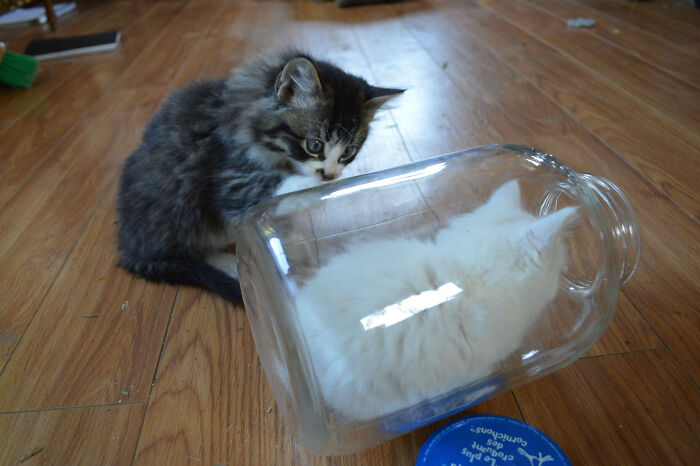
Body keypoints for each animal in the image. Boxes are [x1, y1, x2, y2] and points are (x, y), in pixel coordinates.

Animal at [115, 51, 400, 302]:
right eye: (315, 144)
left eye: (348, 151)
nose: (329, 175)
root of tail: (130, 246)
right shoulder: (230, 178)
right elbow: (274, 189)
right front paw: (319, 186)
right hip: (179, 204)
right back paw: (232, 263)